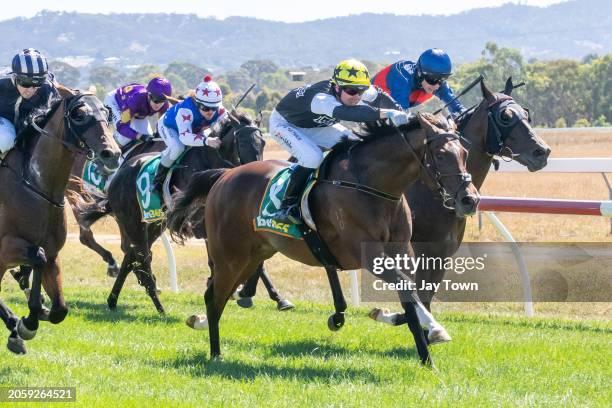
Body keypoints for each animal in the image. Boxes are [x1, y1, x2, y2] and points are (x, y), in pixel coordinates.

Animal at [0, 87, 120, 354]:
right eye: (80, 114)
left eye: (106, 112)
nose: (113, 154)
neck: (37, 184)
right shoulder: (5, 248)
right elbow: (37, 256)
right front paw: (29, 318)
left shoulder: (53, 254)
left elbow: (60, 310)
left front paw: (33, 314)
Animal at [166, 113, 478, 364]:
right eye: (441, 155)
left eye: (464, 152)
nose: (470, 199)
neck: (371, 186)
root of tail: (225, 175)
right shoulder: (368, 254)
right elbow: (408, 289)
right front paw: (432, 338)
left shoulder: (402, 251)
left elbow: (414, 293)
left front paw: (427, 348)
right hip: (230, 255)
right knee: (214, 296)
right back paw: (214, 351)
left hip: (255, 253)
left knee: (221, 291)